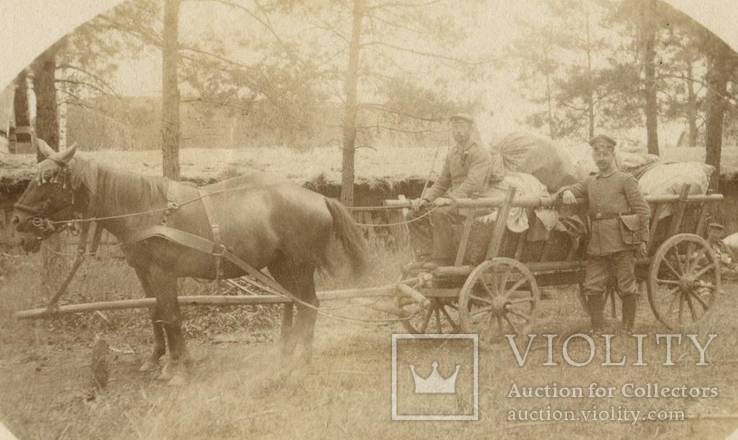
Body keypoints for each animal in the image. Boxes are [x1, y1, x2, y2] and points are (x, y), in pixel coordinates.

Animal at [10, 143, 366, 384]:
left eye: (49, 179)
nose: (17, 222)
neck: (146, 209)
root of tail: (319, 197)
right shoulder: (145, 273)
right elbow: (155, 314)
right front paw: (158, 360)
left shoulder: (163, 273)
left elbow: (172, 317)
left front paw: (177, 369)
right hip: (281, 267)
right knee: (297, 303)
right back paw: (289, 355)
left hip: (298, 265)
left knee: (310, 305)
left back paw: (299, 363)